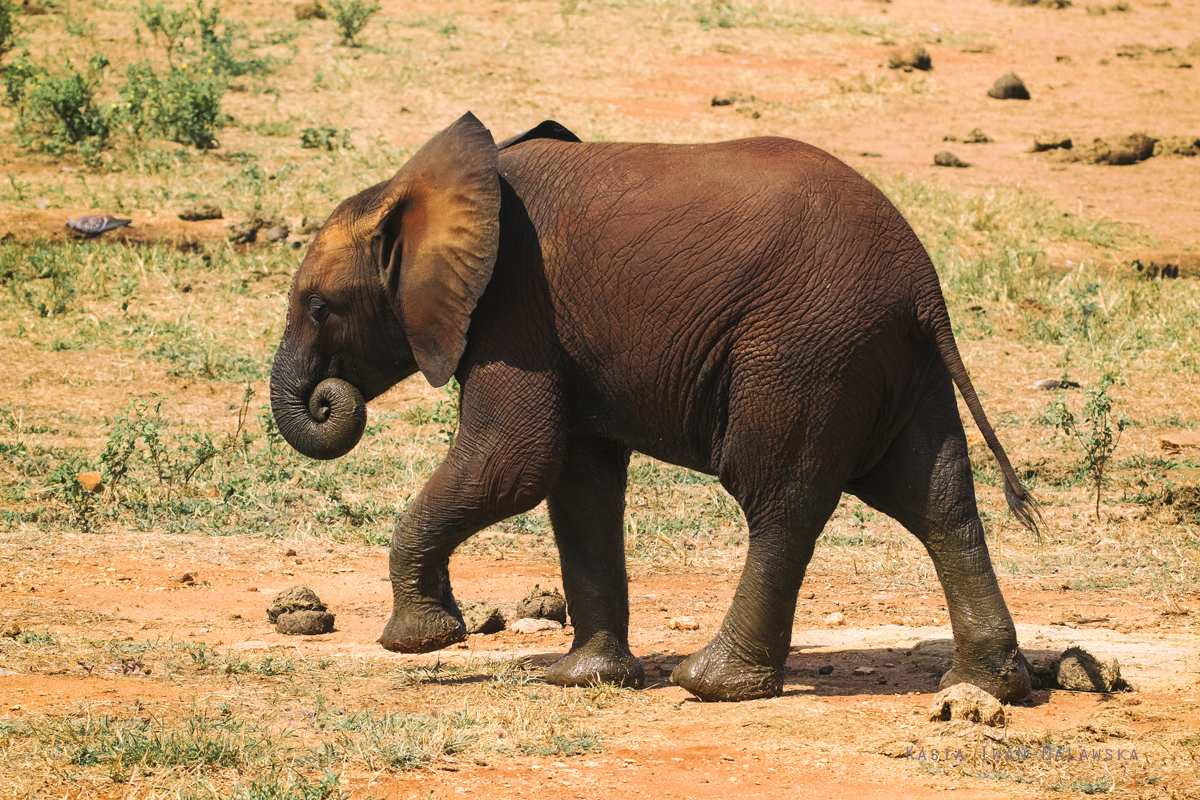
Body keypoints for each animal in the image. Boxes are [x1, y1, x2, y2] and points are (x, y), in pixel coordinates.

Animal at [272, 110, 1041, 700]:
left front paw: (421, 642)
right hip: (888, 359)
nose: (327, 398)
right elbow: (576, 483)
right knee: (939, 501)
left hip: (805, 349)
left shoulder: (515, 313)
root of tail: (925, 285)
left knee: (778, 499)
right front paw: (583, 679)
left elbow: (512, 464)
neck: (421, 191)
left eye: (319, 307)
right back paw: (984, 686)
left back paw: (711, 684)